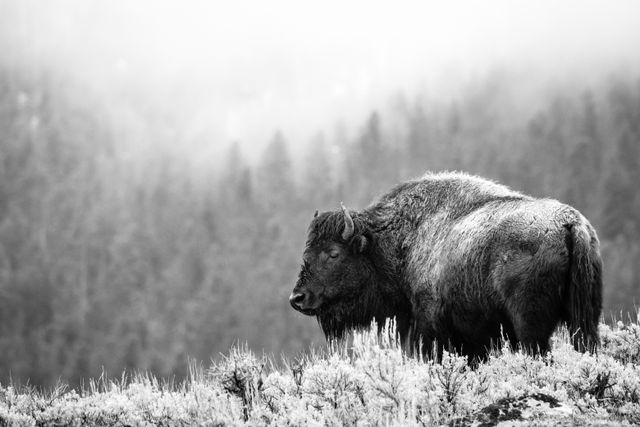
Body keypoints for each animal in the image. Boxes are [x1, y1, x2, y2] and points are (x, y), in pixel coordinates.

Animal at [288, 172, 600, 362]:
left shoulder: (431, 330)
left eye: (333, 254)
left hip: (530, 326)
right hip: (584, 320)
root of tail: (569, 223)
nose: (297, 298)